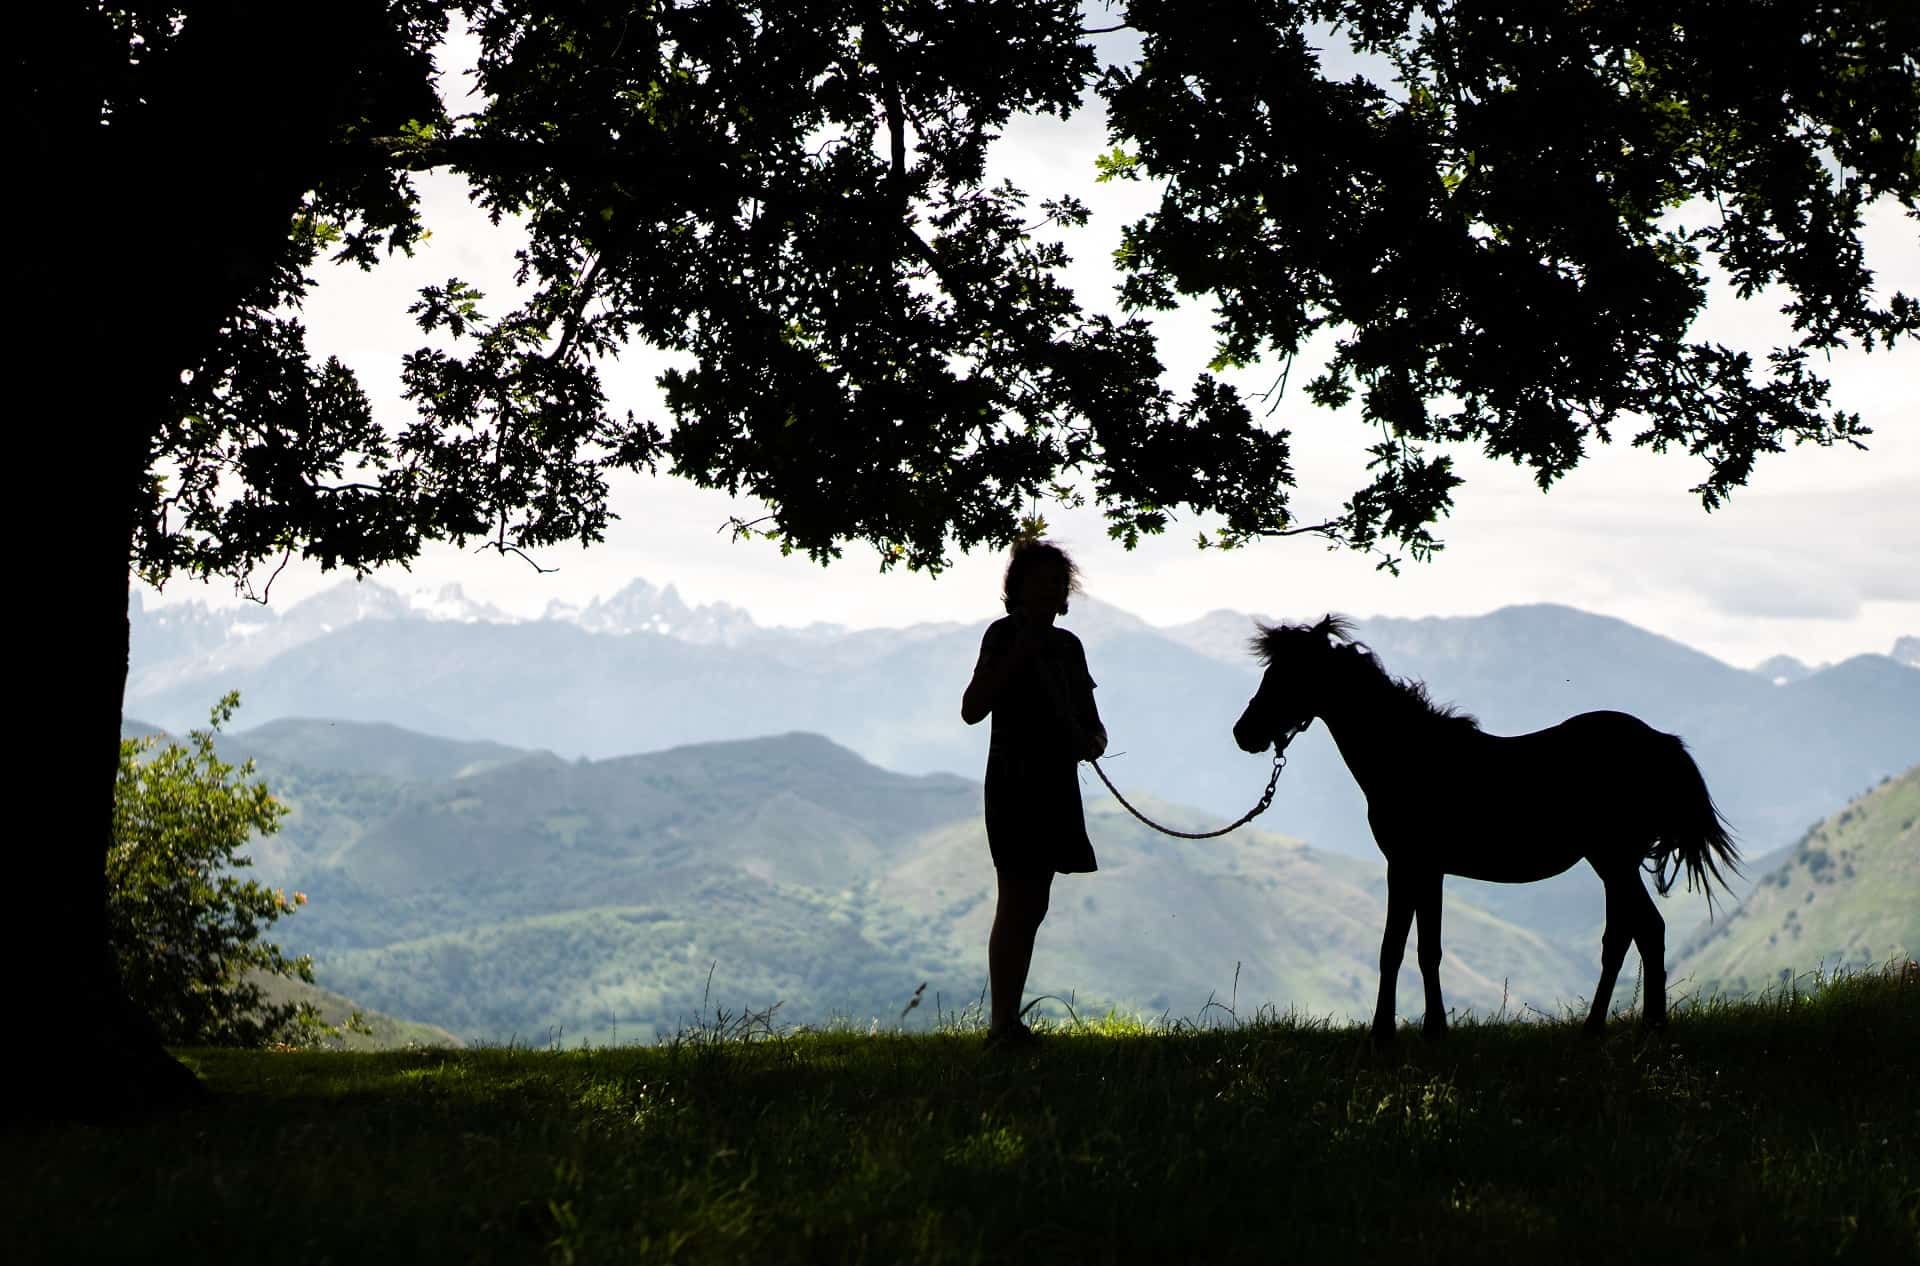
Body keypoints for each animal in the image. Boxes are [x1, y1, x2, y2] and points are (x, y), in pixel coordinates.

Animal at [1231, 615, 1738, 1041]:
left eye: (1287, 674)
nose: (1244, 733)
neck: (1409, 756)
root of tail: (1661, 744)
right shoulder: (1428, 871)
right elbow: (1426, 949)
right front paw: (1433, 1029)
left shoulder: (1407, 865)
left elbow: (1394, 948)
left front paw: (1384, 1033)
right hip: (1614, 863)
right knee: (1621, 937)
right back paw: (1596, 1027)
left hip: (1613, 860)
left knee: (1647, 930)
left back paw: (1648, 1027)